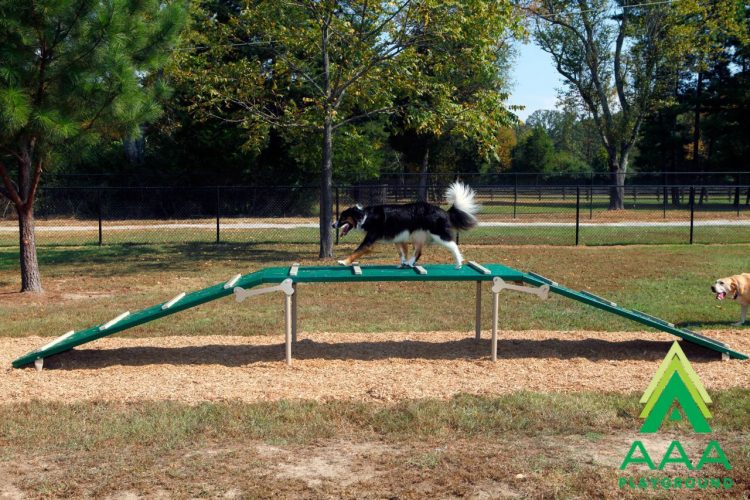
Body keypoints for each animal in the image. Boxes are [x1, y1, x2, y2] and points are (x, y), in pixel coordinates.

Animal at [334, 183, 482, 270]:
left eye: (342, 218)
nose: (332, 224)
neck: (364, 215)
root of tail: (443, 211)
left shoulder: (370, 240)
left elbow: (356, 251)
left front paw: (344, 261)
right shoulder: (398, 237)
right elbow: (402, 252)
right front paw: (403, 262)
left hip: (437, 234)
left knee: (453, 245)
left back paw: (458, 263)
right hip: (418, 235)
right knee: (419, 251)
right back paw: (410, 263)